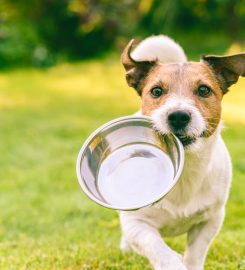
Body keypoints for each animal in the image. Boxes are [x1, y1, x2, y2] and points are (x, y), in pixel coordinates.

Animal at [119, 34, 245, 268]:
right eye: (156, 91)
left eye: (204, 90)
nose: (178, 116)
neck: (184, 170)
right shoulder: (137, 225)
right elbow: (158, 249)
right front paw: (174, 261)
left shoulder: (210, 220)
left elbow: (195, 254)